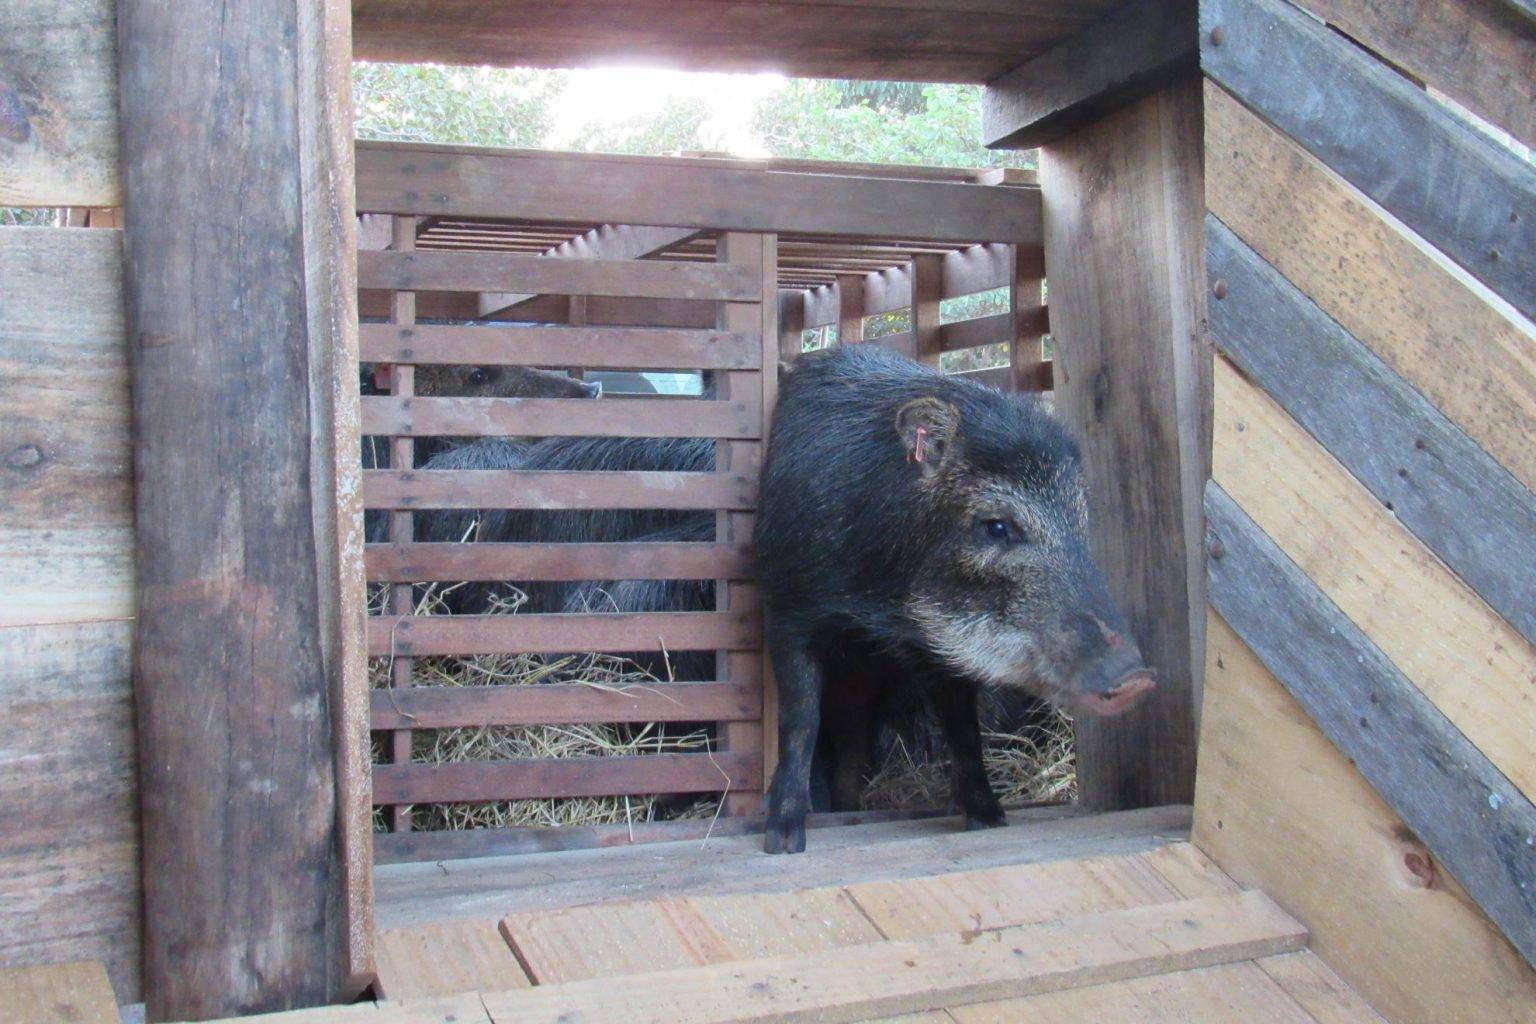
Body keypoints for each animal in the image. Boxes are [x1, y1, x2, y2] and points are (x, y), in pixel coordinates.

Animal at [757, 344, 1154, 854]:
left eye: (1081, 521)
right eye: (998, 527)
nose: (1136, 679)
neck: (881, 603)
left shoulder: (942, 653)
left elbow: (963, 729)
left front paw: (990, 820)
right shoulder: (788, 608)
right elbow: (800, 720)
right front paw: (783, 841)